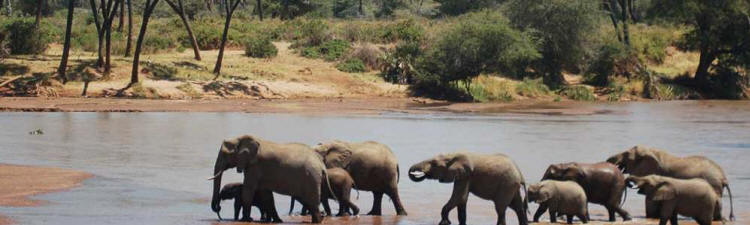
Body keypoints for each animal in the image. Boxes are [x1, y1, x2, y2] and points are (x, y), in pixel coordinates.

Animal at [608, 145, 736, 221]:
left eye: (626, 154)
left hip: (713, 184)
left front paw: (652, 217)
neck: (653, 151)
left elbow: (650, 201)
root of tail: (723, 177)